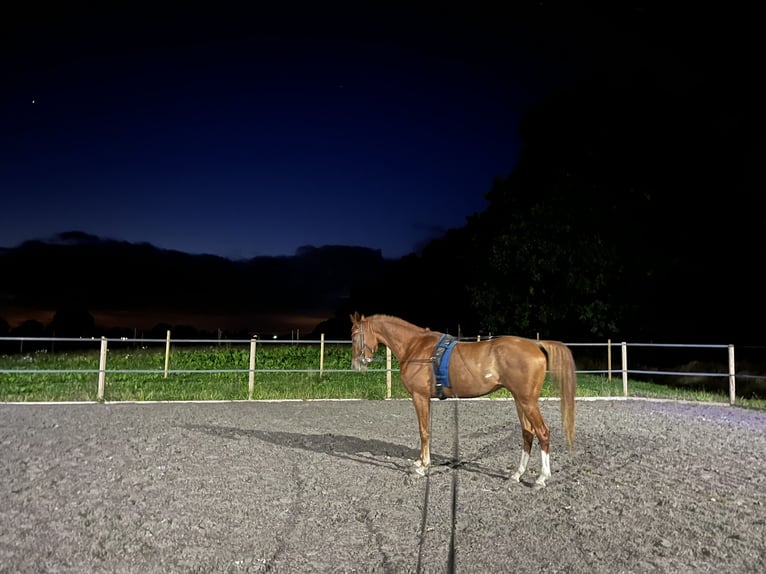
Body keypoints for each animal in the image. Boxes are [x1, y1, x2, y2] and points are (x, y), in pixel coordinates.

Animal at [352, 312, 580, 488]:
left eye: (354, 336)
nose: (356, 364)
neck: (415, 347)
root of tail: (535, 344)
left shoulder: (420, 397)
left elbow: (424, 432)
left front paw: (422, 466)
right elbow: (426, 431)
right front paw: (420, 463)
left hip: (528, 401)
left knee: (543, 432)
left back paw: (541, 478)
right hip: (519, 400)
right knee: (528, 433)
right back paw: (517, 474)